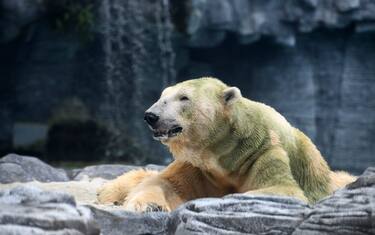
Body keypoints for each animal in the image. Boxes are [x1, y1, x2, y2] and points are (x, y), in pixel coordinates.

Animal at [96, 76, 356, 211]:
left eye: (183, 98)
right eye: (162, 96)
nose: (151, 116)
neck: (228, 153)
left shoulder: (265, 153)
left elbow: (283, 189)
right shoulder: (198, 165)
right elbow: (164, 183)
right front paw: (151, 206)